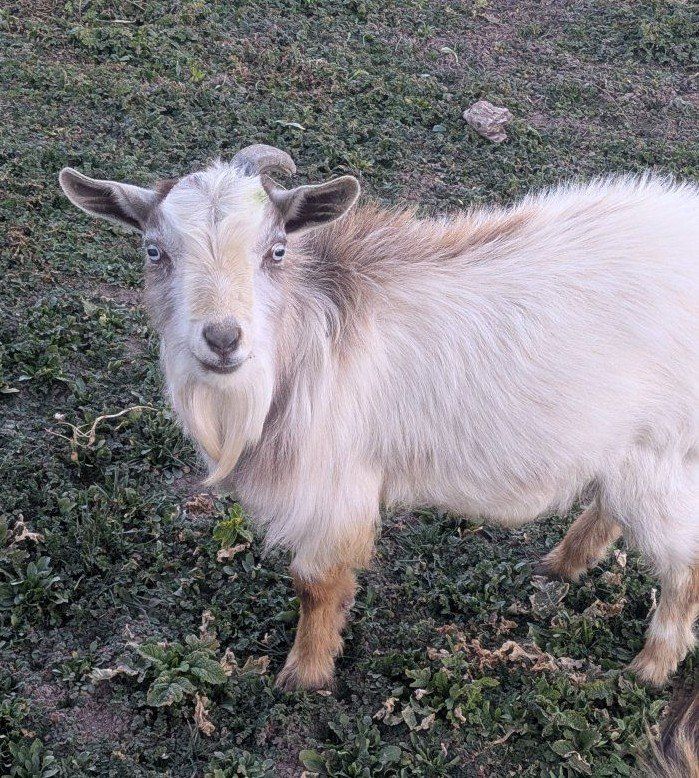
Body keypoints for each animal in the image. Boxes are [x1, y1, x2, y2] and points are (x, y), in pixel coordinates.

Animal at [59, 145, 699, 691]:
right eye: (154, 251)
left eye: (277, 250)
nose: (222, 338)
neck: (306, 342)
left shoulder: (335, 484)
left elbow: (316, 582)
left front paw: (305, 675)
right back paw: (560, 567)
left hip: (664, 453)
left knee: (684, 561)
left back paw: (651, 667)